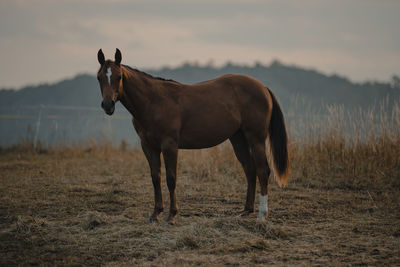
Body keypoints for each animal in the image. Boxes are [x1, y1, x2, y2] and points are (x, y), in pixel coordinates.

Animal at [97, 48, 290, 226]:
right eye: (99, 77)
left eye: (119, 77)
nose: (108, 105)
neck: (154, 101)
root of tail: (263, 88)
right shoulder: (148, 146)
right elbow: (155, 178)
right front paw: (155, 214)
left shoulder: (169, 145)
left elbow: (171, 179)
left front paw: (171, 216)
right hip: (238, 138)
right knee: (250, 169)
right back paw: (245, 211)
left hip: (256, 138)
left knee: (263, 170)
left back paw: (262, 215)